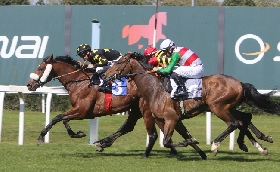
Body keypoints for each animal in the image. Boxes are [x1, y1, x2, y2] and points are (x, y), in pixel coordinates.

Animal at [25, 54, 206, 159]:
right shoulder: (80, 111)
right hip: (138, 108)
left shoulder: (82, 111)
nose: (29, 85)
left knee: (150, 130)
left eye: (41, 67)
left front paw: (41, 137)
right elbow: (63, 119)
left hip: (146, 109)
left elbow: (58, 117)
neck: (79, 82)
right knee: (130, 127)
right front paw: (77, 133)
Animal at [101, 51, 280, 155]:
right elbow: (169, 138)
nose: (104, 75)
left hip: (218, 107)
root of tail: (240, 83)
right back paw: (257, 144)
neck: (155, 89)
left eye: (118, 62)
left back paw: (216, 145)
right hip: (228, 107)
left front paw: (192, 142)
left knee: (234, 123)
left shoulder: (171, 118)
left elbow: (167, 141)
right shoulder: (165, 119)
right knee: (245, 118)